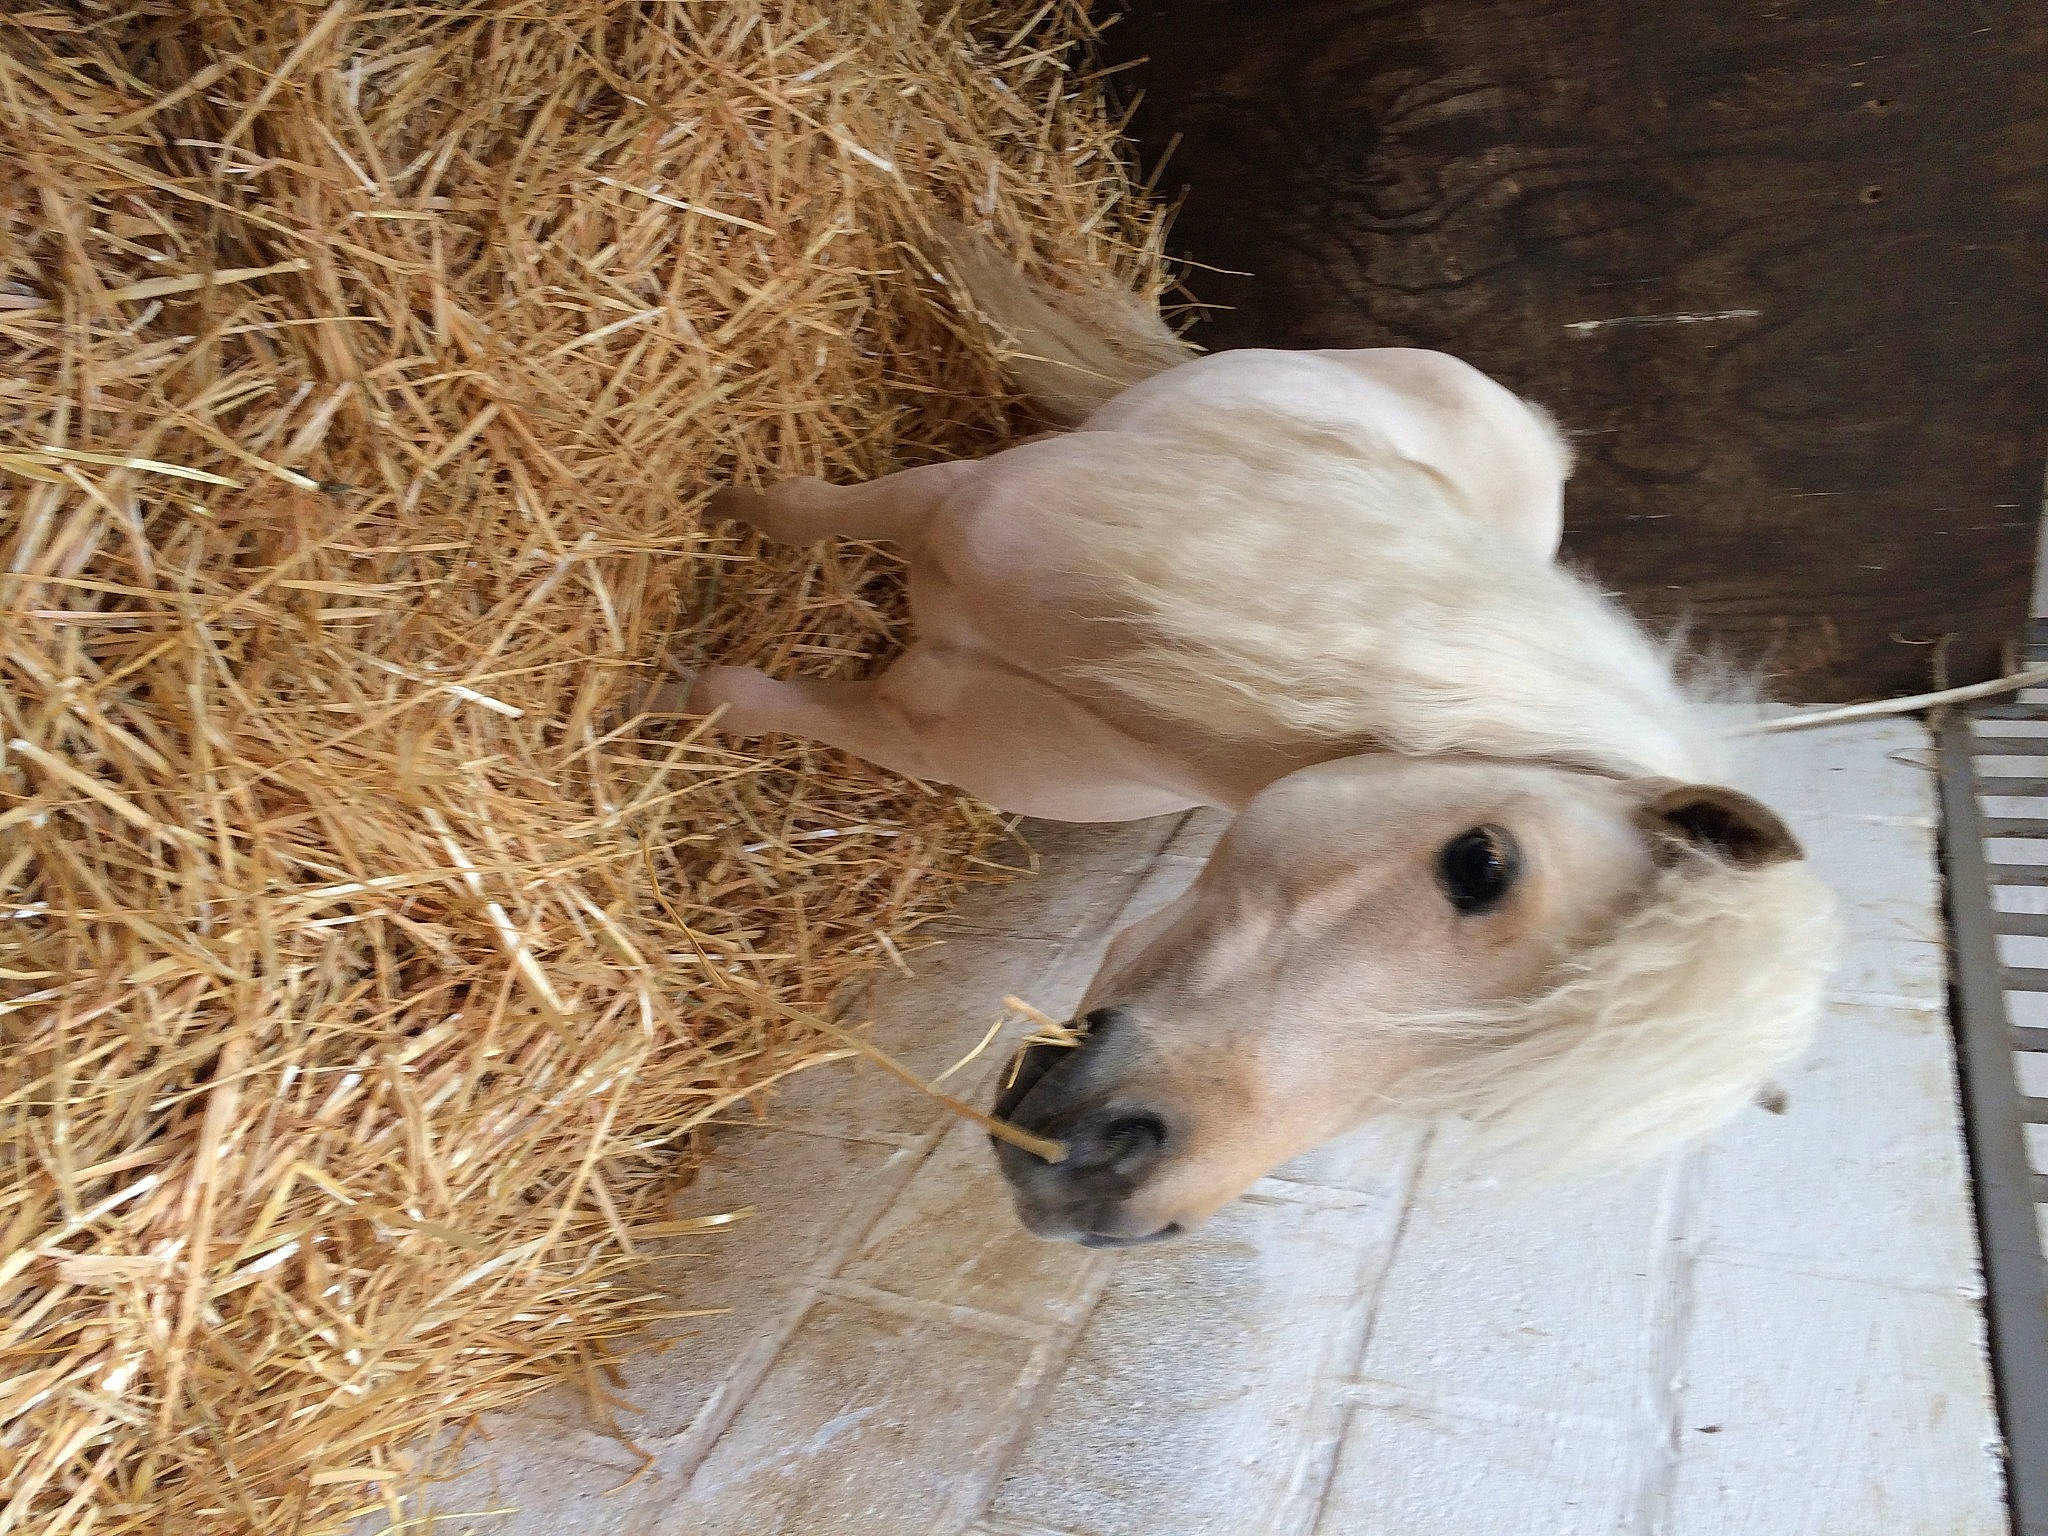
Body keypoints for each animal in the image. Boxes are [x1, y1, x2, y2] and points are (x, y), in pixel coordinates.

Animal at [673, 228, 1839, 1249]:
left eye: (1470, 1094)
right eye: (1480, 864)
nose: (1112, 1189)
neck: (1103, 683)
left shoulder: (919, 733)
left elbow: (737, 699)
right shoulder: (937, 503)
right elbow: (784, 522)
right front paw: (690, 563)